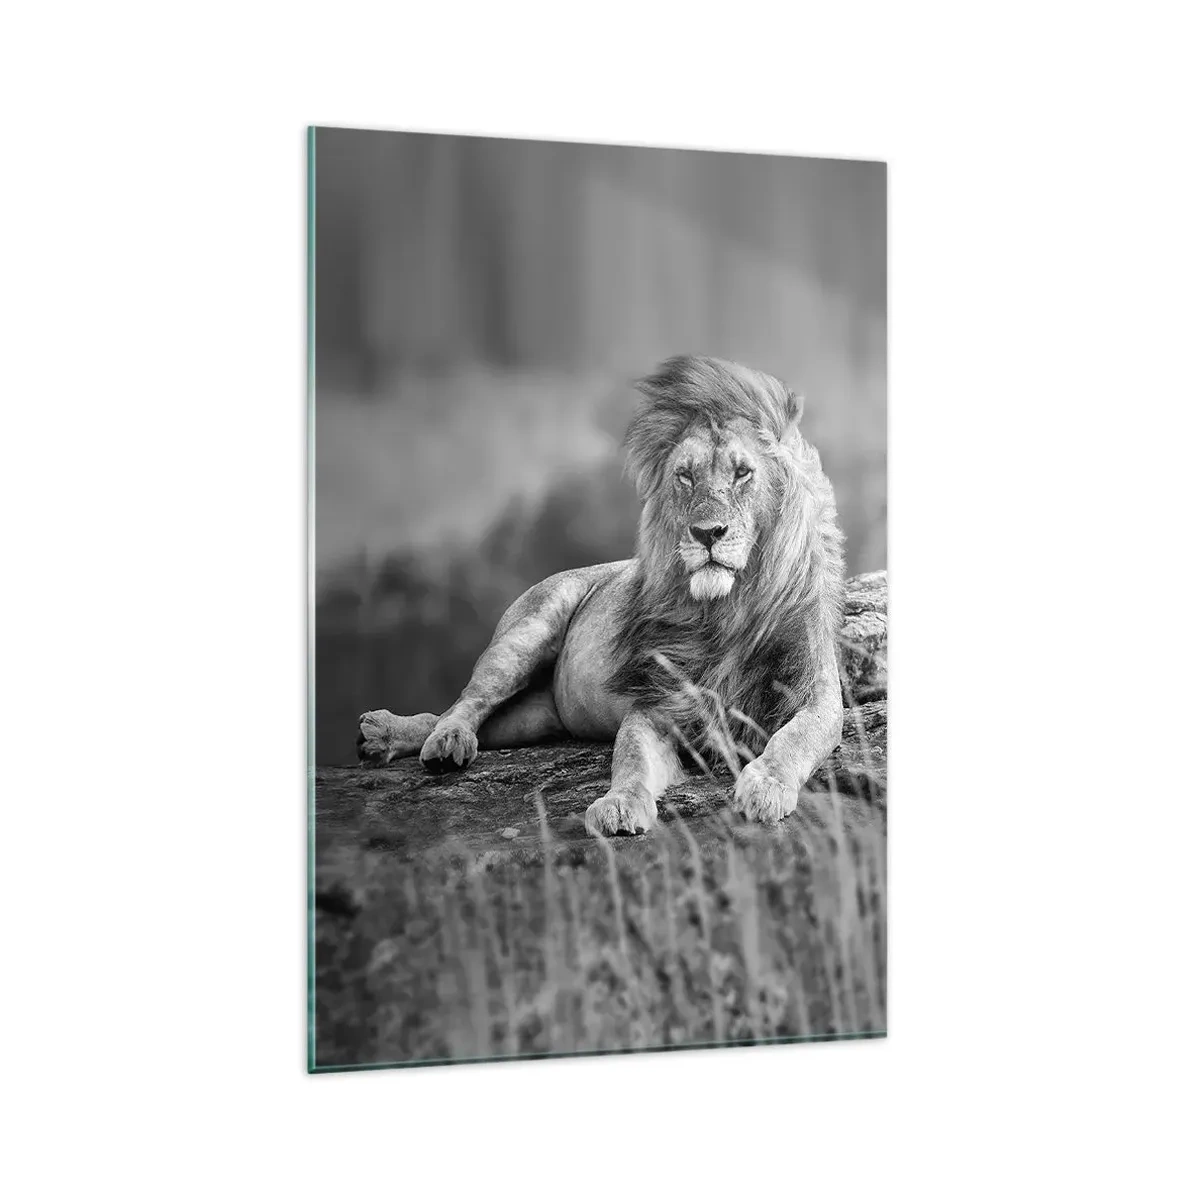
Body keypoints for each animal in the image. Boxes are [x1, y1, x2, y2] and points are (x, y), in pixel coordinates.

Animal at [357, 355, 846, 836]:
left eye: (743, 472)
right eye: (685, 477)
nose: (707, 533)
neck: (726, 610)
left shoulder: (816, 693)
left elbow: (794, 739)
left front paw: (765, 787)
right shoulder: (656, 702)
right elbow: (629, 757)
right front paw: (619, 805)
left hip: (536, 718)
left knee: (467, 719)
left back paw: (386, 736)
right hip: (524, 636)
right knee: (465, 702)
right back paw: (431, 739)